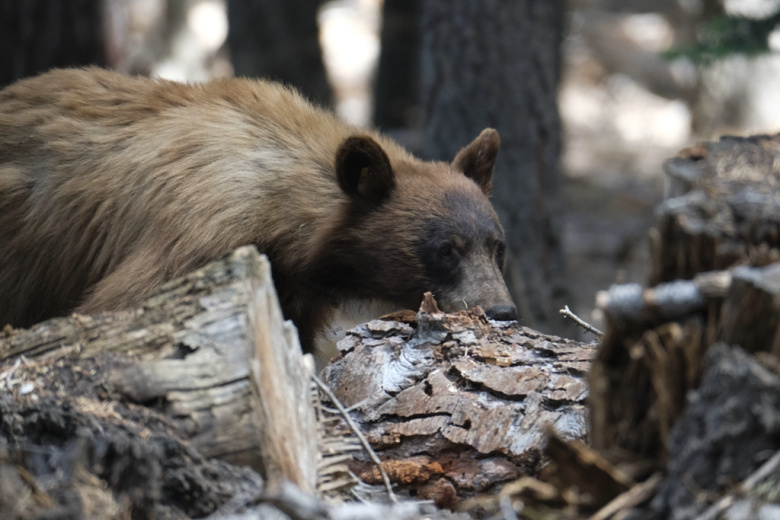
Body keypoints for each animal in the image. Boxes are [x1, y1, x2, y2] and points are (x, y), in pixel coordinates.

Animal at [0, 67, 516, 356]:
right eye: (446, 249)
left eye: (498, 247)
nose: (502, 310)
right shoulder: (197, 238)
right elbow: (123, 306)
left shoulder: (293, 293)